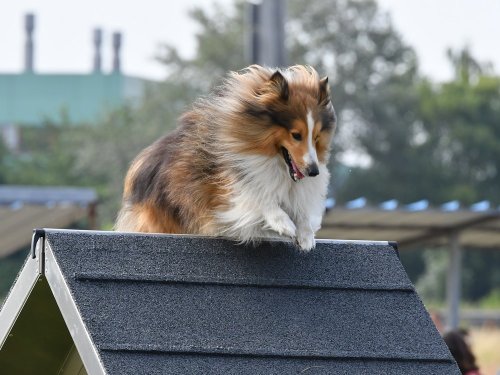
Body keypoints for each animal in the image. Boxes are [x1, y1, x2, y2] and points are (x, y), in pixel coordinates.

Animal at [115, 65, 338, 253]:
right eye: (296, 135)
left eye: (316, 137)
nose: (314, 172)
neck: (272, 160)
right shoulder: (223, 191)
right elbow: (258, 195)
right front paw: (284, 224)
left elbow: (301, 207)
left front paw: (306, 236)